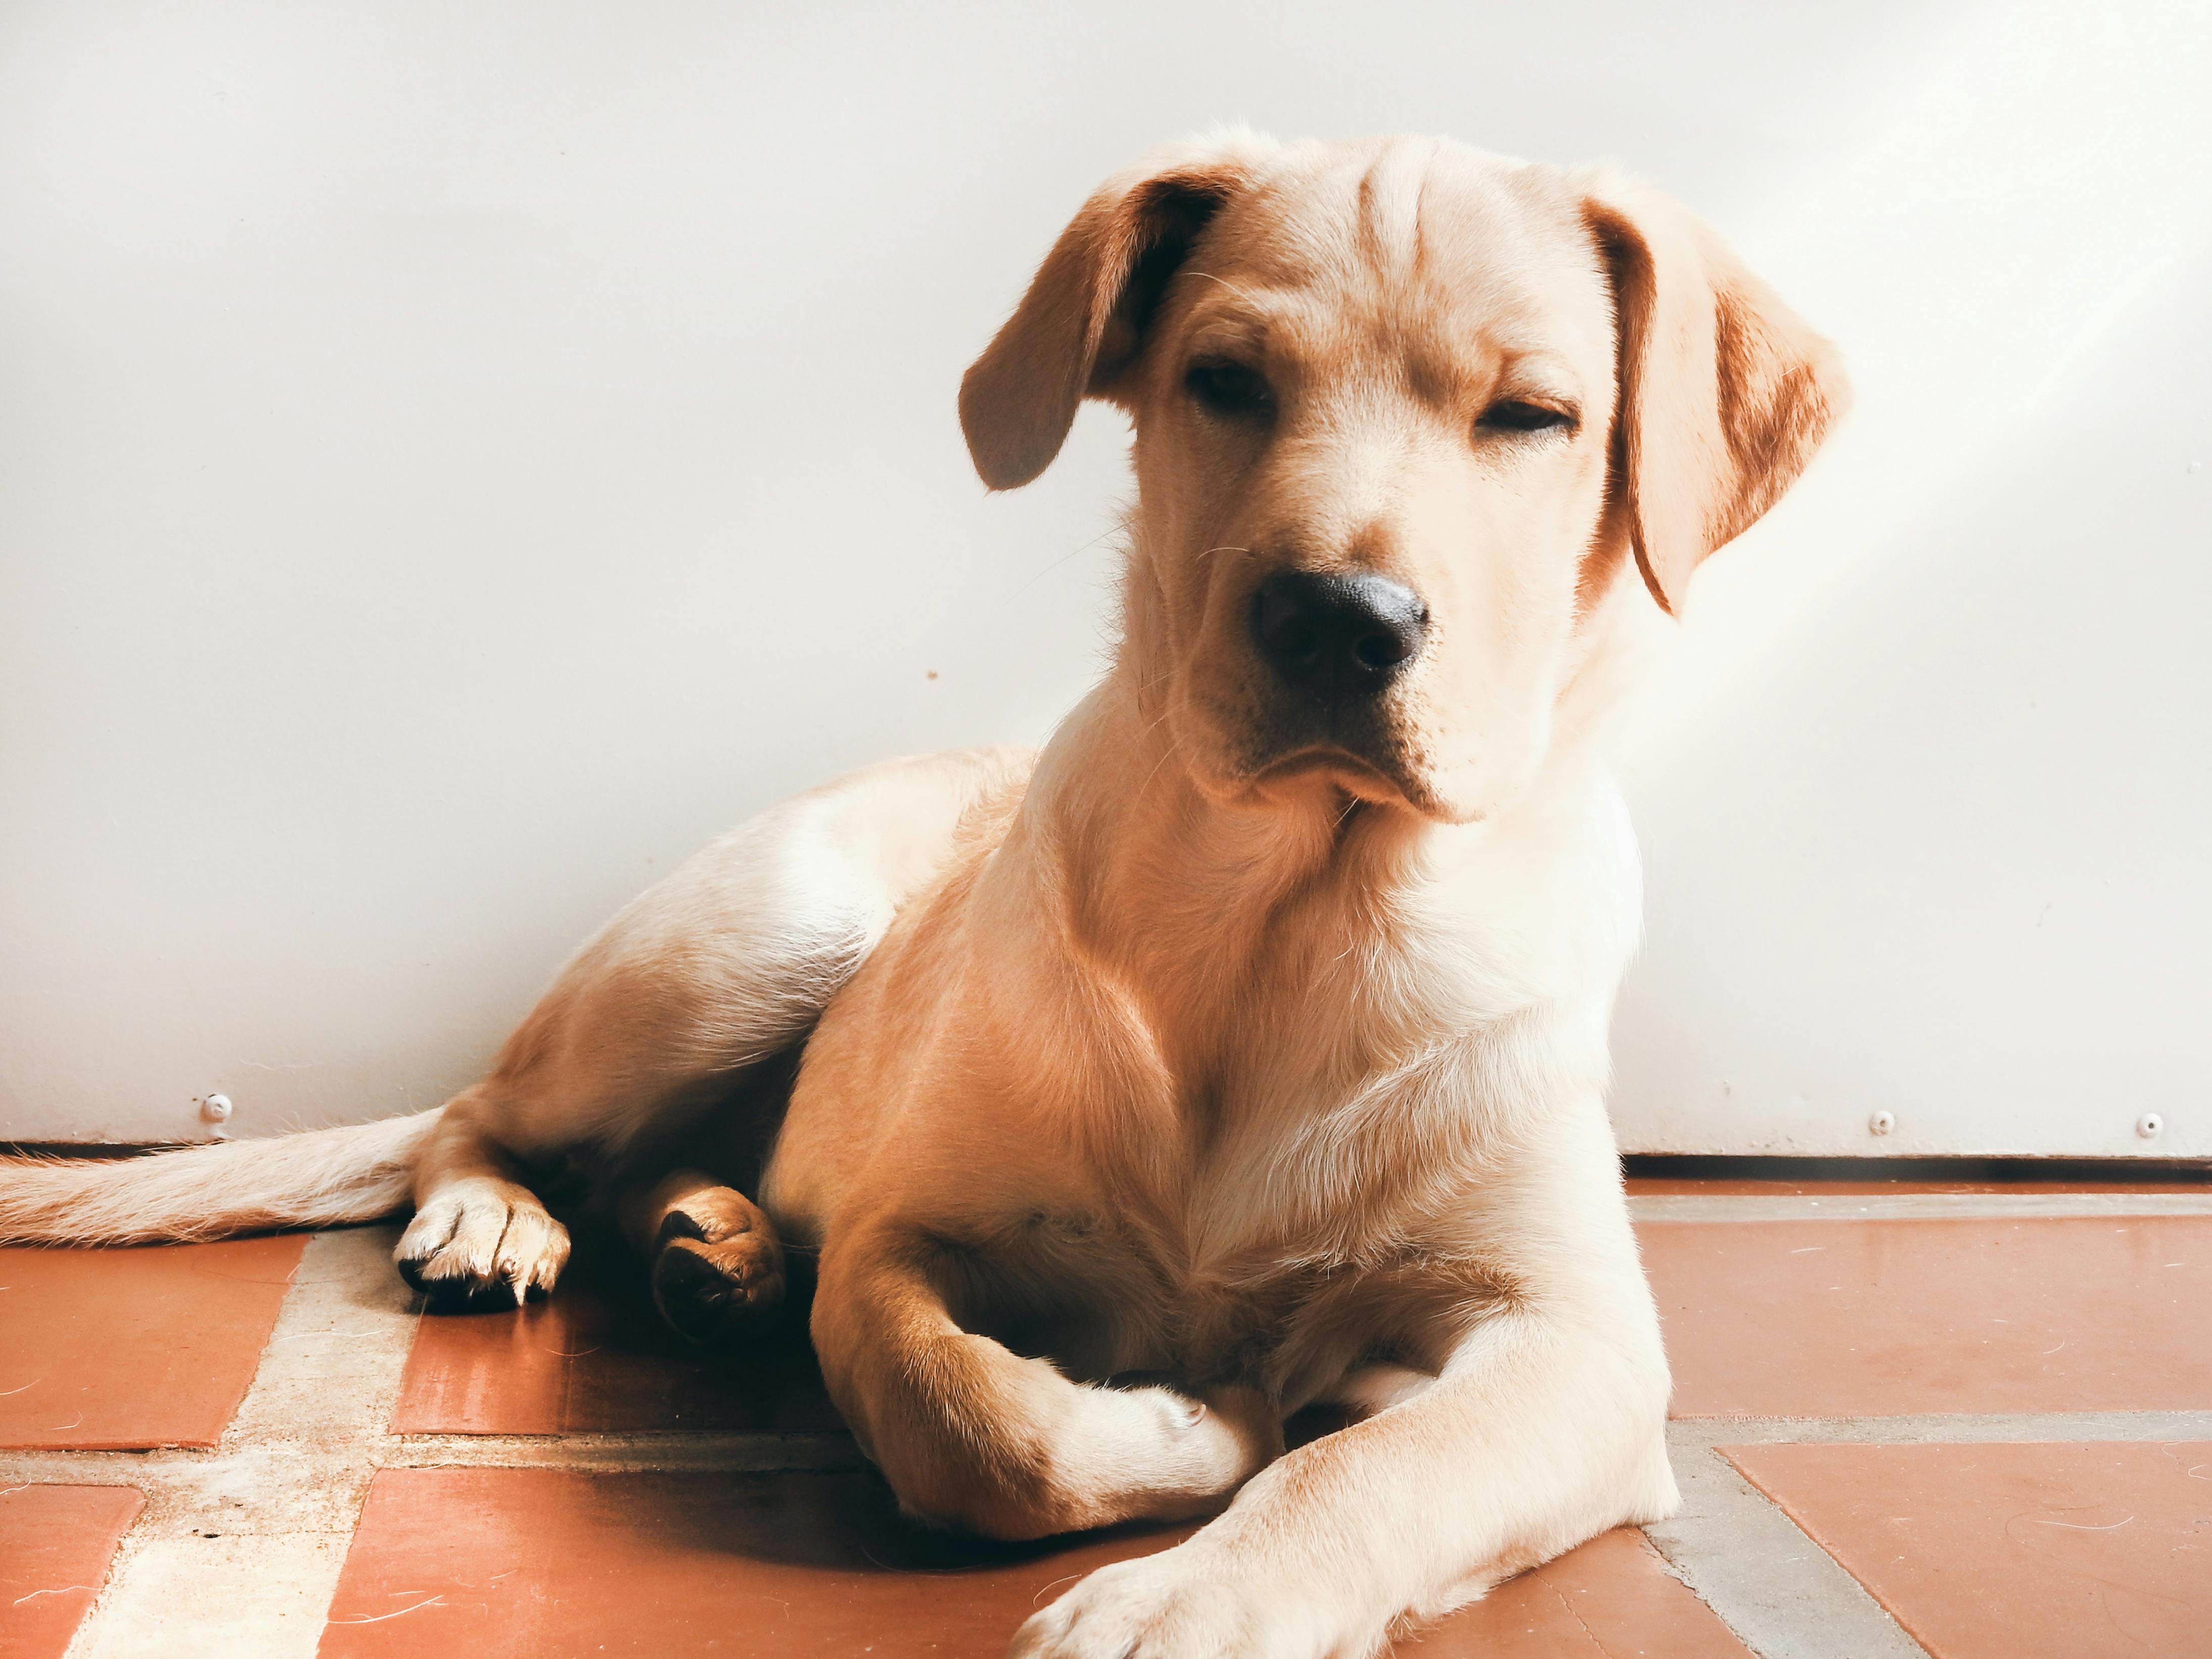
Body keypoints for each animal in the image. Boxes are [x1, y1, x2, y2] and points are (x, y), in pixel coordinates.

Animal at [4, 140, 1831, 1659]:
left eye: (1531, 417)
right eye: (1223, 382)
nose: (1337, 619)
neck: (1292, 920)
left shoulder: (1575, 1343)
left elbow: (1367, 1468)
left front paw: (1190, 1598)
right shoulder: (904, 1236)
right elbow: (972, 1416)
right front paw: (1190, 1432)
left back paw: (720, 1244)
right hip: (761, 932)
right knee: (486, 1113)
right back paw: (505, 1220)